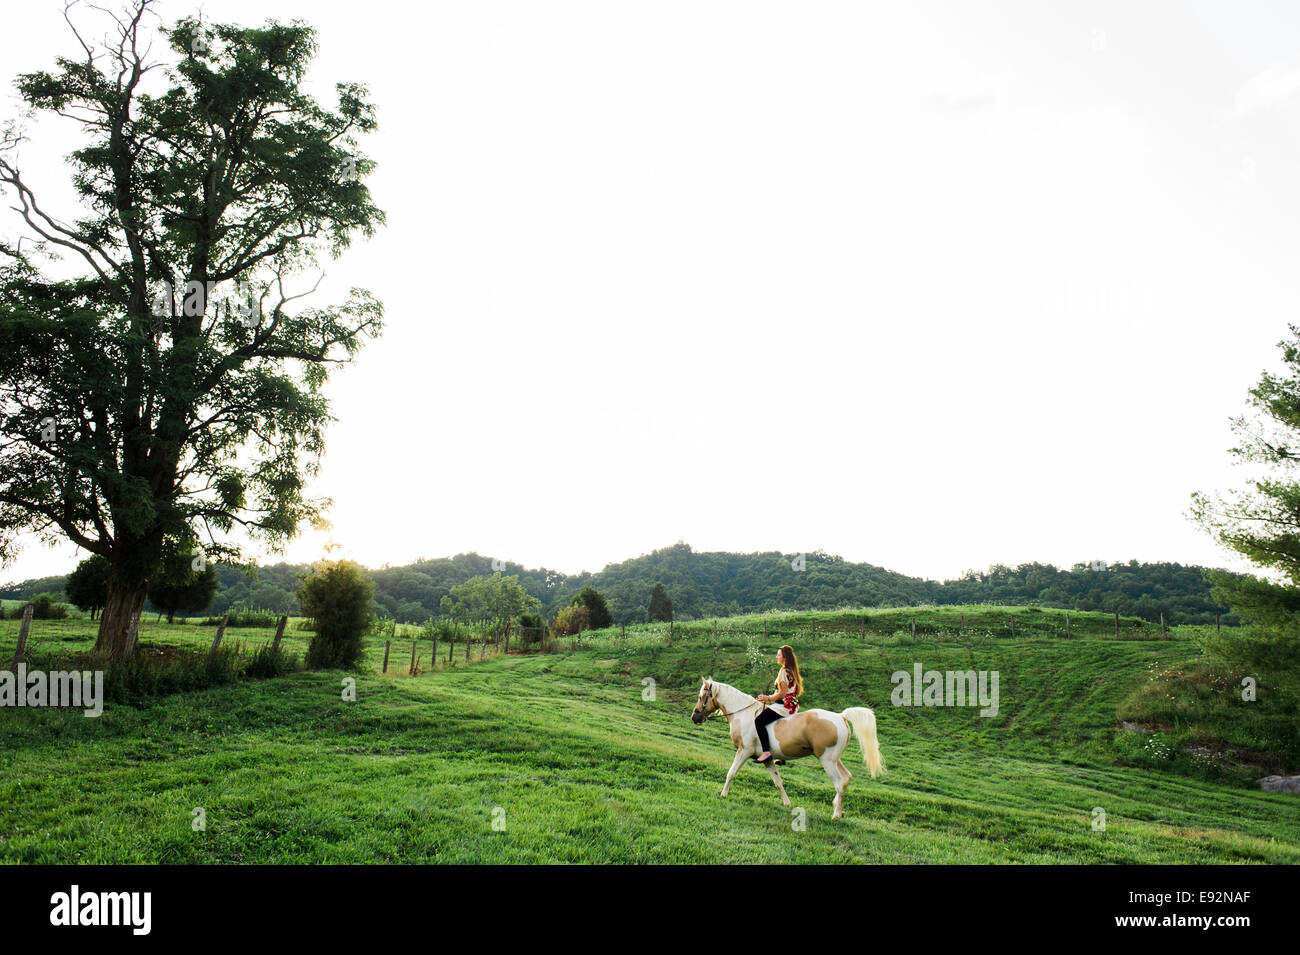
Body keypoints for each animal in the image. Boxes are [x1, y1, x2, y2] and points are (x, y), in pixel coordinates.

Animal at [691, 675, 883, 815]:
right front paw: (787, 803)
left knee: (839, 782)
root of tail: (841, 716)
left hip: (827, 761)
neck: (744, 715)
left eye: (702, 697)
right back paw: (837, 807)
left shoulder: (744, 751)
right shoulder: (767, 759)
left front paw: (723, 794)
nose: (695, 717)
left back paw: (836, 815)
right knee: (847, 778)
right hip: (835, 759)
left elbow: (731, 773)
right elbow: (778, 782)